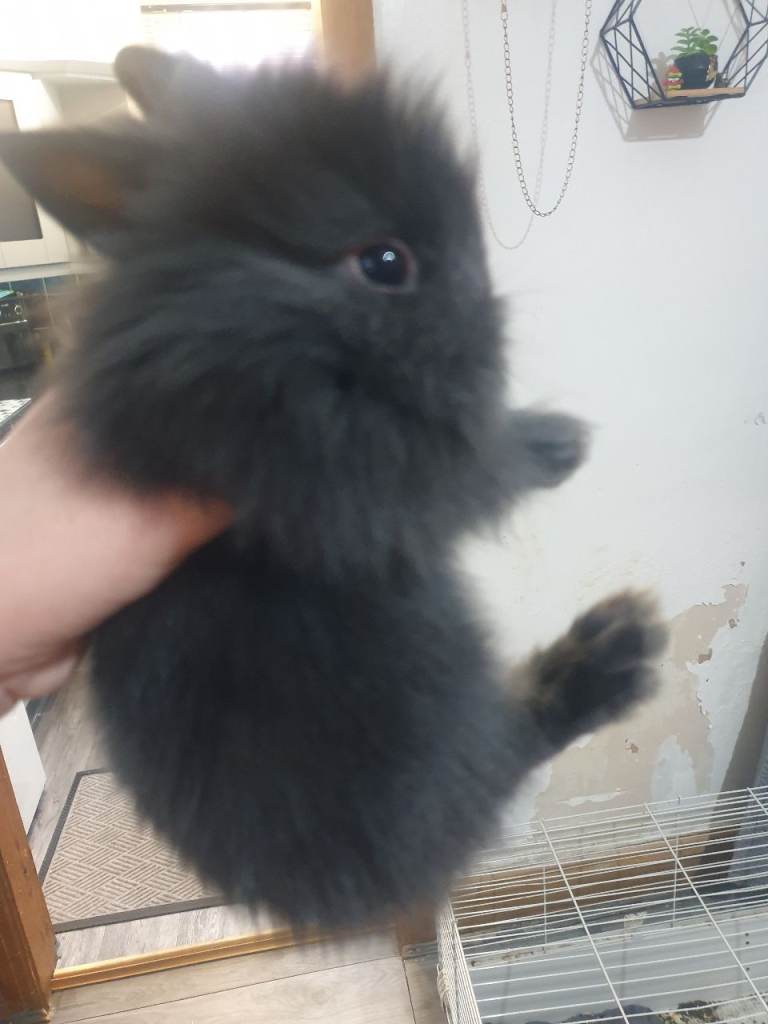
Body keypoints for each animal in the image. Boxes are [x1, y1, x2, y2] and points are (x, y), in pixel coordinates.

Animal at [0, 47, 666, 929]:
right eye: (385, 262)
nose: (488, 318)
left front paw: (555, 433)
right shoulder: (353, 478)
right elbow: (477, 469)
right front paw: (557, 444)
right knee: (509, 746)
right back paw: (615, 653)